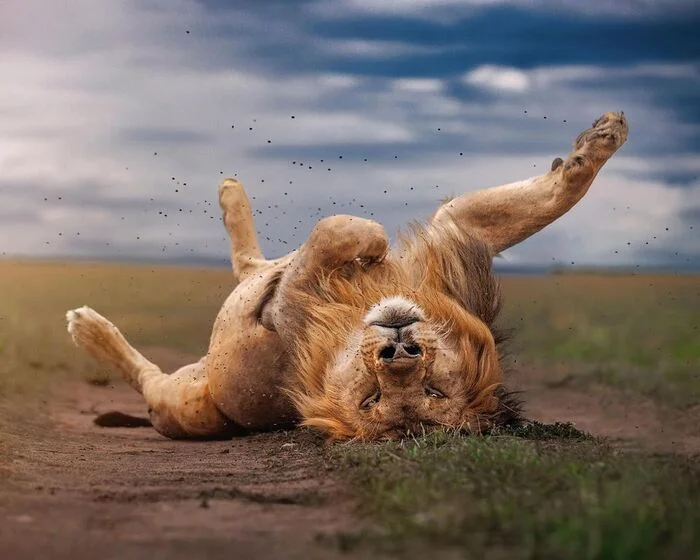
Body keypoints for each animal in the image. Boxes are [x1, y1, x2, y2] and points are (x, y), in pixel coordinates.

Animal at [65, 111, 628, 440]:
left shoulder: (292, 308)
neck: (354, 312)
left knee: (151, 377)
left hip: (185, 403)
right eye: (375, 395)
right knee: (251, 264)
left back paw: (89, 327)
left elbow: (333, 232)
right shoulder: (458, 234)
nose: (400, 353)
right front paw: (602, 139)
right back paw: (231, 192)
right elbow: (555, 194)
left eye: (429, 394)